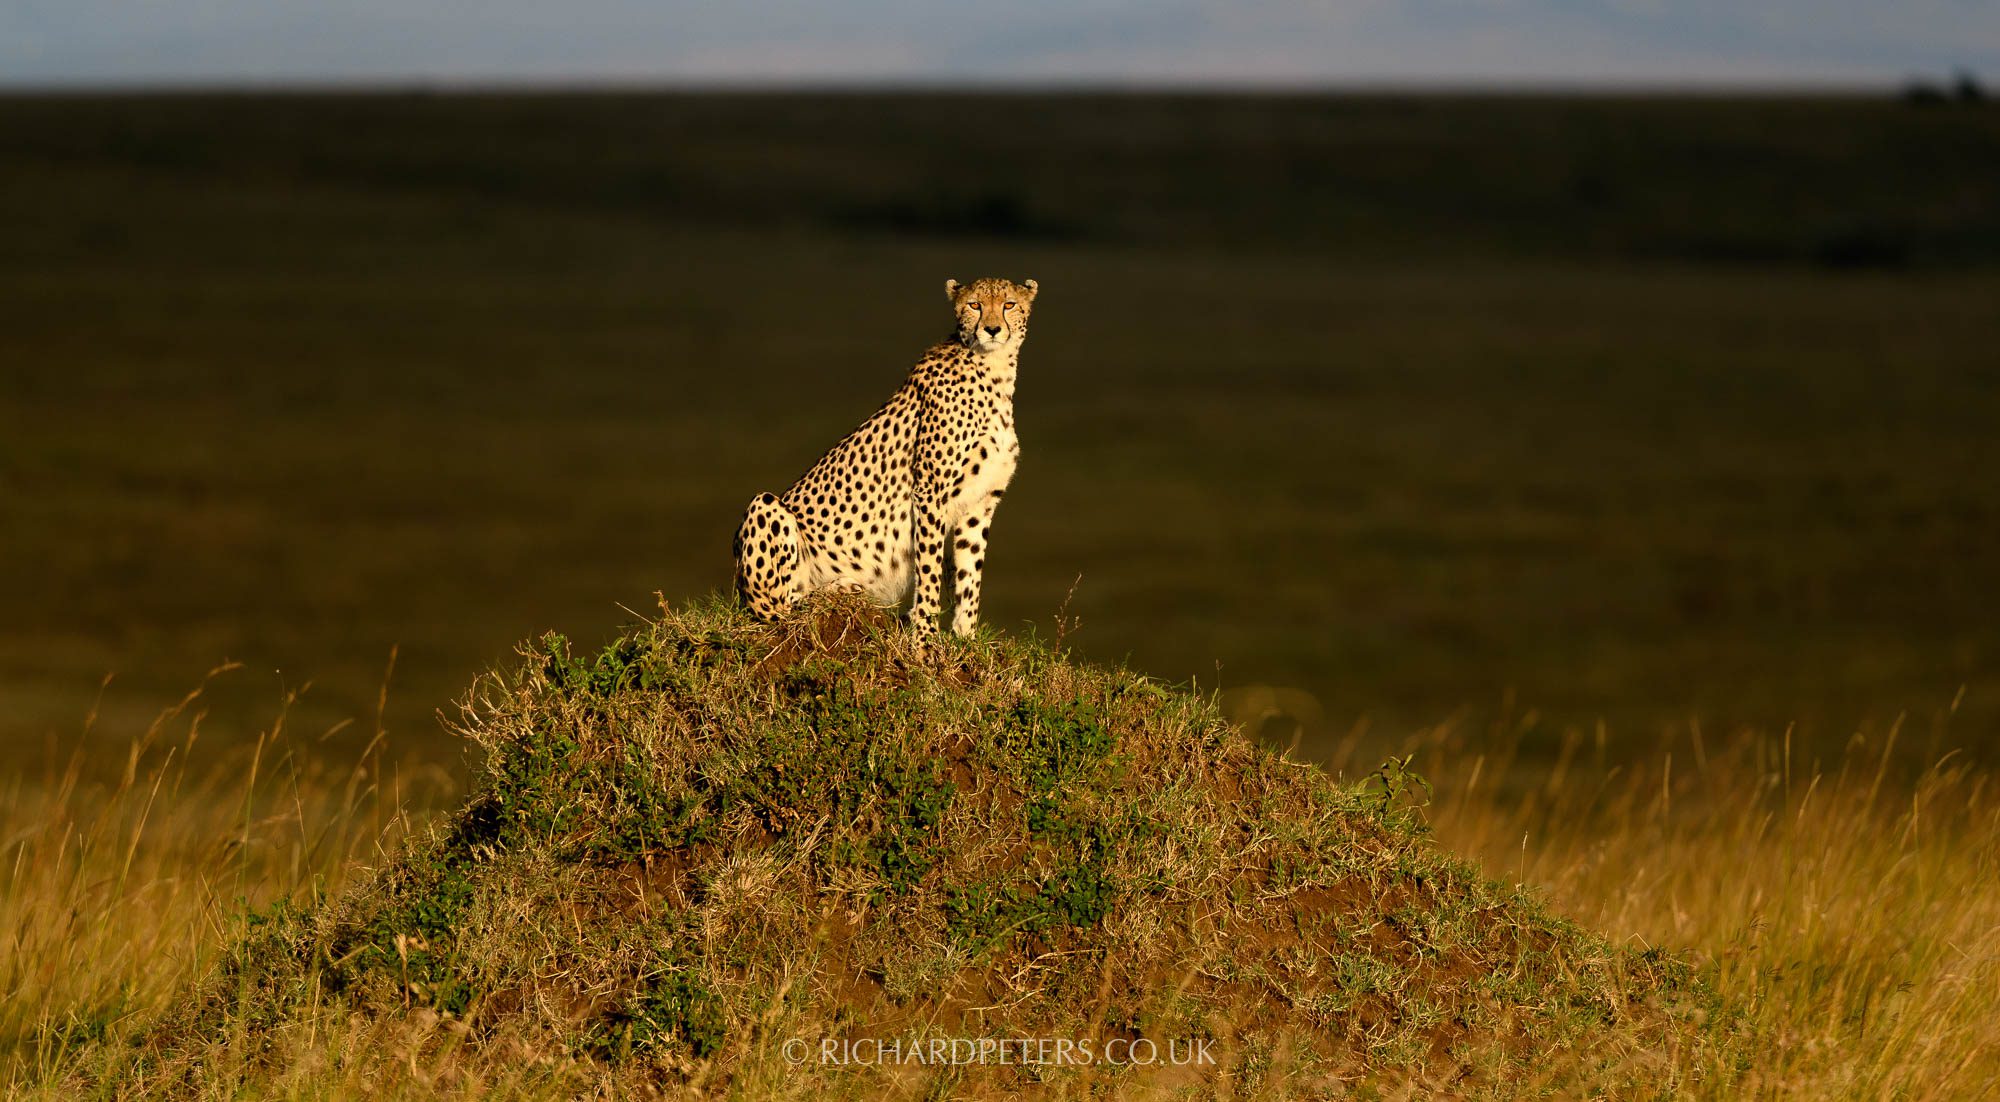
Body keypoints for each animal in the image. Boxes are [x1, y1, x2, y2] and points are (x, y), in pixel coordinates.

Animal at [740, 278, 1048, 640]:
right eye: (974, 305)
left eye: (1009, 304)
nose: (992, 329)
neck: (994, 370)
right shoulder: (930, 490)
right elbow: (928, 566)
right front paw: (926, 635)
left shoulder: (981, 501)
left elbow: (969, 573)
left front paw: (965, 636)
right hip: (766, 509)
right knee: (781, 608)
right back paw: (838, 590)